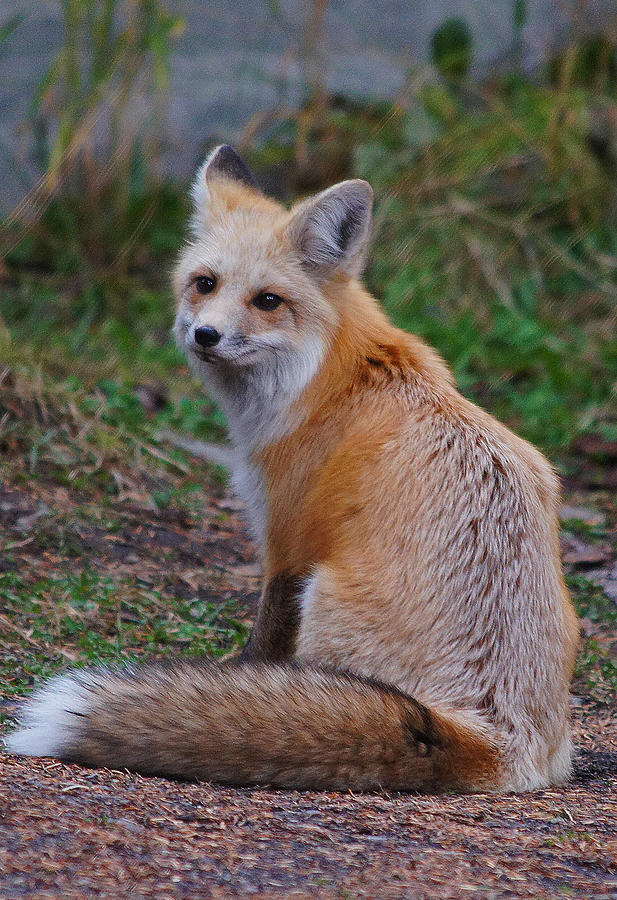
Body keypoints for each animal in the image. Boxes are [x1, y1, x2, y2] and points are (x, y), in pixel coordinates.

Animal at [6, 144, 576, 792]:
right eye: (205, 284)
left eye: (268, 301)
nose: (205, 334)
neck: (329, 380)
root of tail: (499, 738)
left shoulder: (287, 542)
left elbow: (261, 647)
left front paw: (232, 679)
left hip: (321, 595)